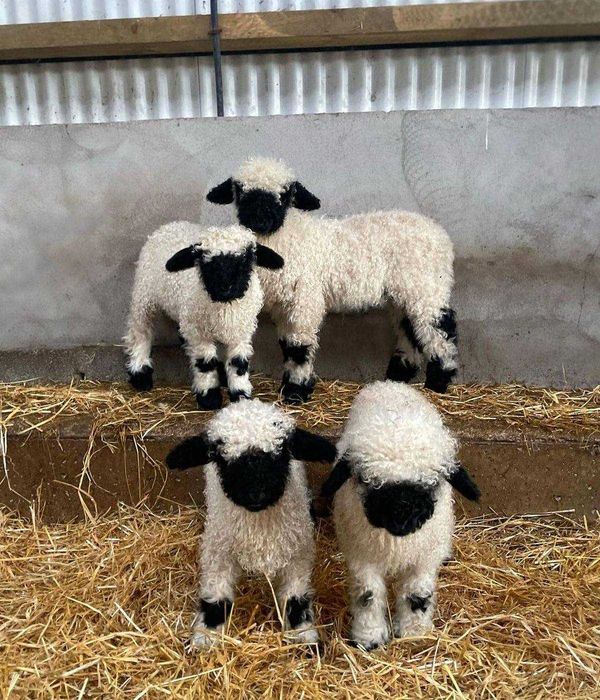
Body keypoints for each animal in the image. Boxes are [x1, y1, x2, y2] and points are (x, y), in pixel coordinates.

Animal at [124, 221, 284, 409]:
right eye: (206, 262)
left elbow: (239, 364)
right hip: (144, 298)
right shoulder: (199, 334)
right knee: (140, 333)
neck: (224, 307)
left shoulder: (241, 333)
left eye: (245, 259)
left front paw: (240, 395)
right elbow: (205, 364)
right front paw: (209, 397)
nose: (225, 287)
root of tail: (170, 225)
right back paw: (140, 374)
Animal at [166, 399, 336, 649]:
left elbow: (295, 599)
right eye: (220, 458)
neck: (258, 530)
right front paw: (205, 638)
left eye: (281, 453)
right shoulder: (218, 555)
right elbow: (215, 598)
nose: (256, 494)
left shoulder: (298, 556)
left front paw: (305, 638)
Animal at [206, 157, 458, 404]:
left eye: (286, 194)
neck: (285, 239)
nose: (258, 220)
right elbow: (287, 345)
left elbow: (299, 347)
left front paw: (296, 391)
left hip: (425, 285)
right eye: (240, 190)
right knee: (411, 330)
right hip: (405, 293)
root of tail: (440, 234)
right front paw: (291, 387)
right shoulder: (283, 307)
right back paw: (398, 377)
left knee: (441, 325)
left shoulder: (305, 301)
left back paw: (439, 380)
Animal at [321, 381, 480, 650]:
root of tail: (390, 385)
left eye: (429, 485)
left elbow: (417, 593)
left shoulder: (423, 558)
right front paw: (369, 637)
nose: (401, 520)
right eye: (368, 481)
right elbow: (368, 594)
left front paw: (414, 631)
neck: (397, 543)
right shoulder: (362, 556)